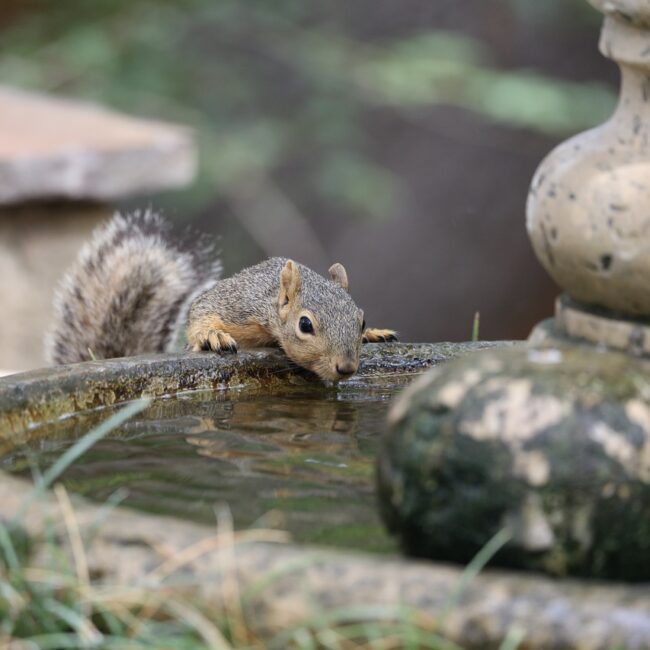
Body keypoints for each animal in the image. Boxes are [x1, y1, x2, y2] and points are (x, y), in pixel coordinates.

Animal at [45, 210, 394, 378]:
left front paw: (375, 334)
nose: (346, 368)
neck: (271, 303)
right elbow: (202, 308)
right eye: (305, 325)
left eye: (361, 321)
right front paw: (210, 336)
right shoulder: (240, 304)